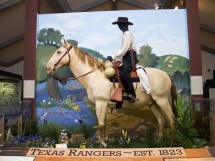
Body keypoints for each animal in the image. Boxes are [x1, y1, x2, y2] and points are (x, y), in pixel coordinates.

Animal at [45, 40, 176, 140]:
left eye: (59, 52)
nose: (47, 68)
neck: (95, 76)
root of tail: (166, 74)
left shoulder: (101, 103)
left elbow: (101, 124)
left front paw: (102, 144)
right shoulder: (103, 105)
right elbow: (104, 124)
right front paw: (105, 142)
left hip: (162, 100)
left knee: (171, 119)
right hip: (153, 103)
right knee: (161, 119)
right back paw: (159, 141)